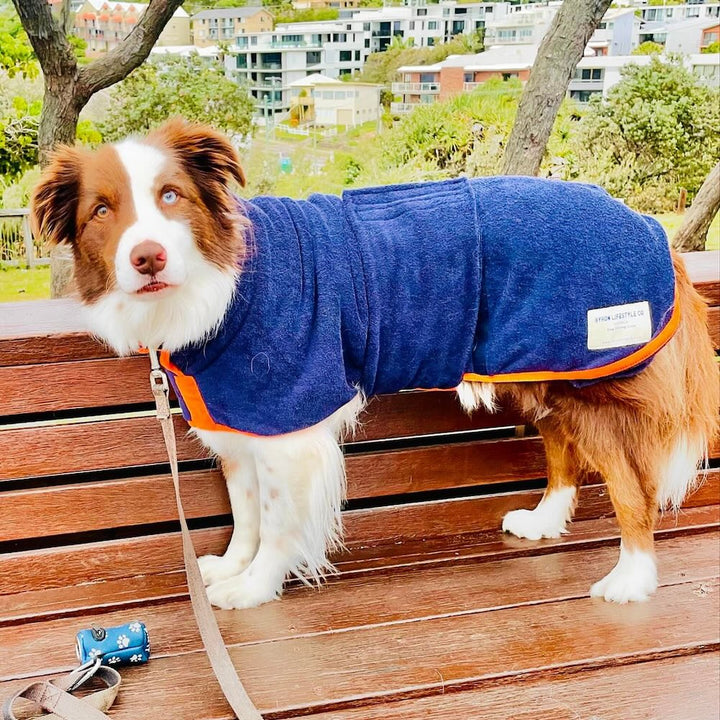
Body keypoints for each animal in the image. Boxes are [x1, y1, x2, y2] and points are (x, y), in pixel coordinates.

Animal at [29, 119, 720, 608]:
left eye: (170, 196)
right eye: (101, 211)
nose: (147, 256)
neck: (219, 285)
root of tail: (650, 227)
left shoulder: (288, 416)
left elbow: (278, 520)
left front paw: (253, 587)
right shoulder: (241, 416)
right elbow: (246, 511)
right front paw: (231, 565)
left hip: (591, 377)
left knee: (631, 486)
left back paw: (631, 577)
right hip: (542, 369)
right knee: (562, 449)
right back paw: (545, 520)